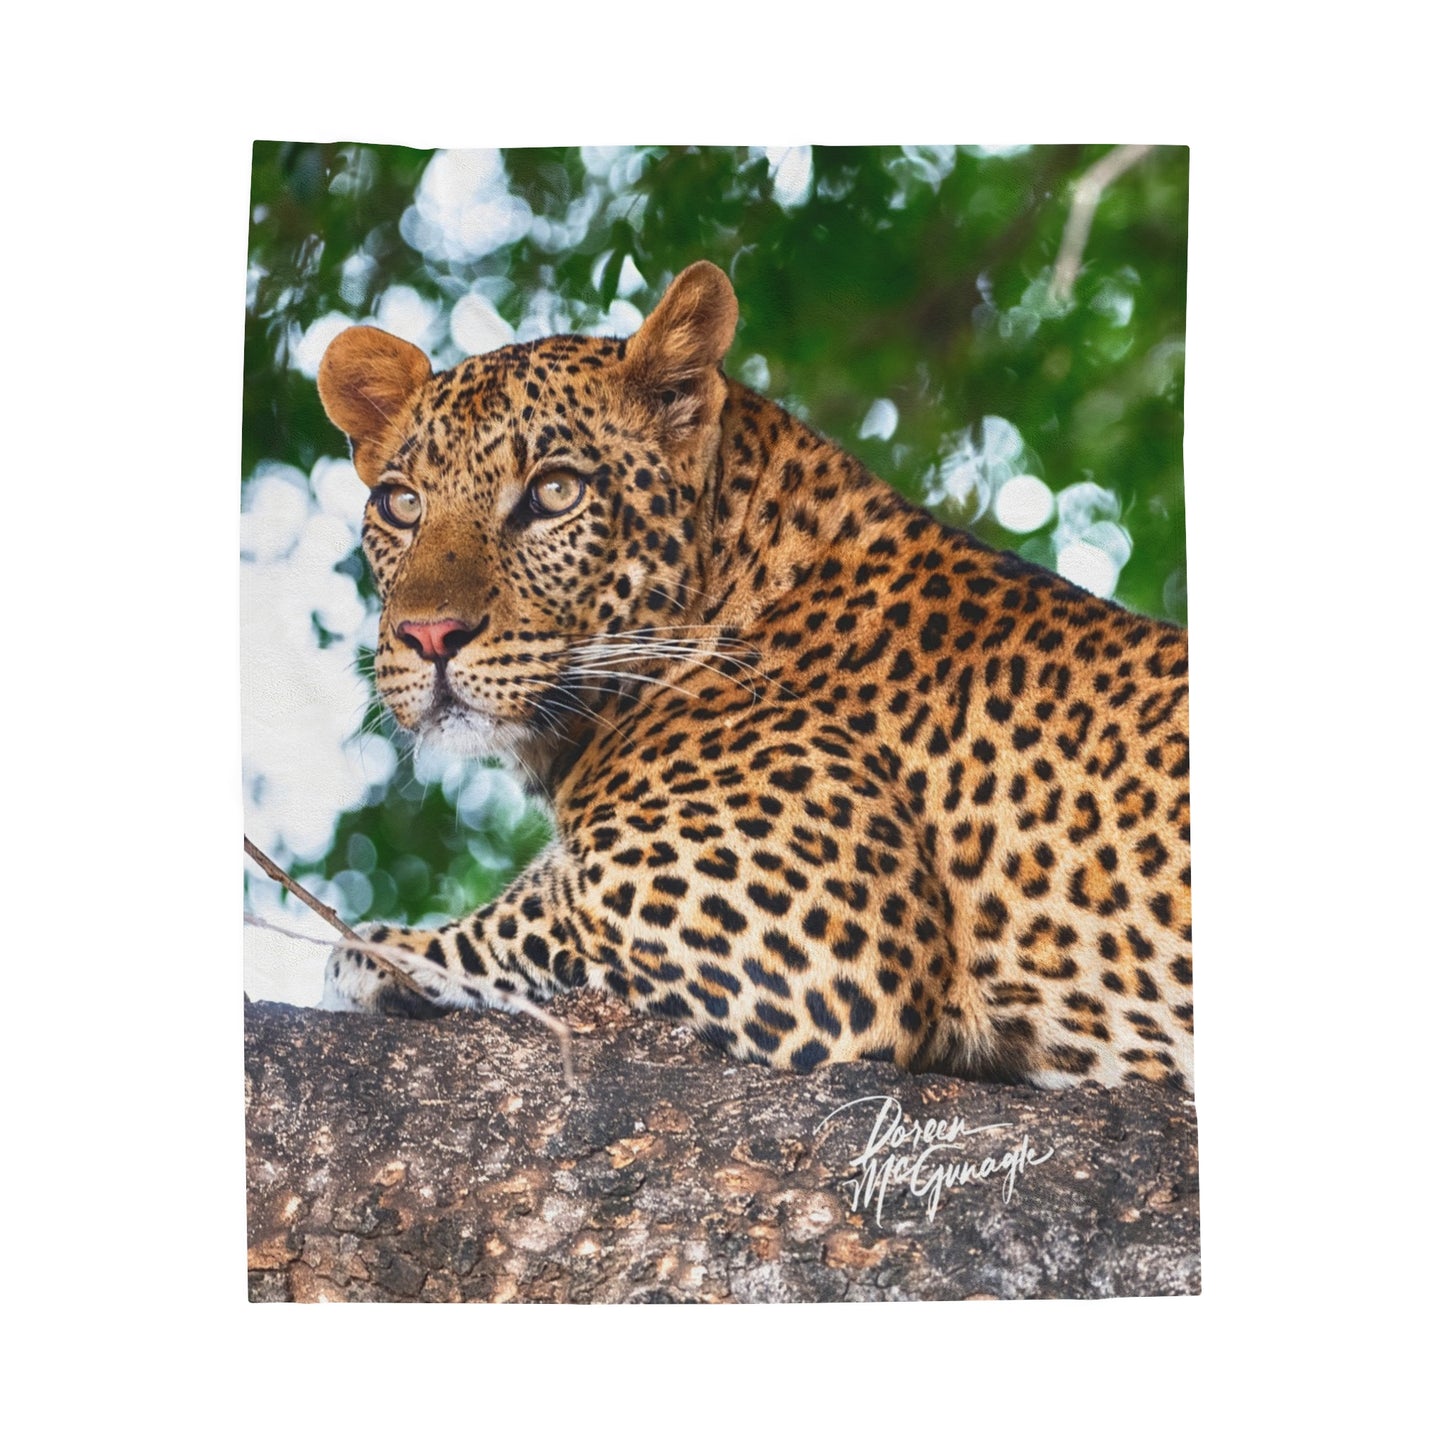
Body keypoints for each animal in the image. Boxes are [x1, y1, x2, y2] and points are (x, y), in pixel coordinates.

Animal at [314, 260, 1192, 1090]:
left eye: (554, 492)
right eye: (400, 504)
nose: (429, 635)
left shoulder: (806, 938)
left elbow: (524, 916)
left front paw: (379, 950)